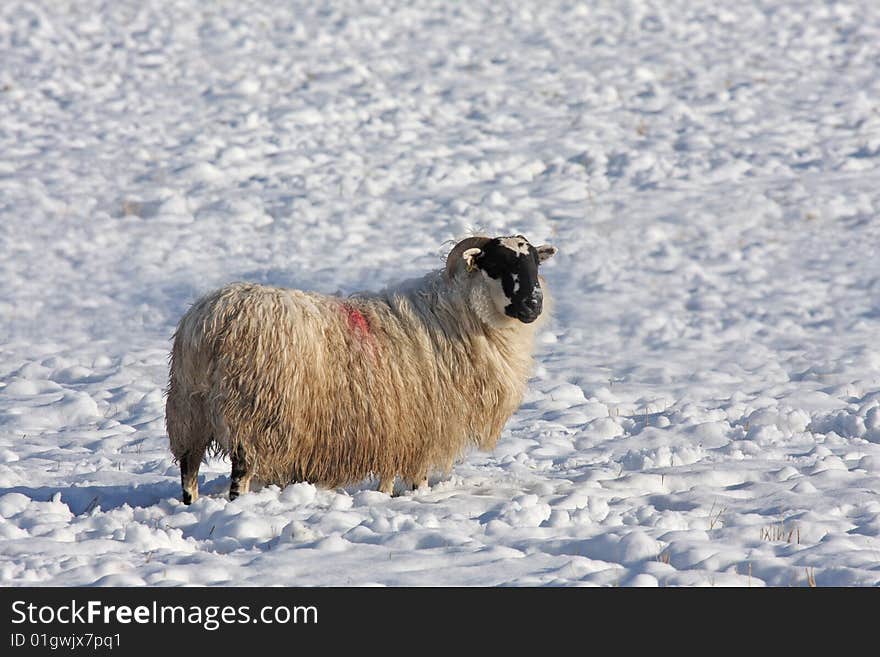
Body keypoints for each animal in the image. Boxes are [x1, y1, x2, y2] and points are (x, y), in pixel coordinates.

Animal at [167, 234, 556, 502]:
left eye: (534, 265)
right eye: (498, 265)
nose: (532, 305)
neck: (456, 314)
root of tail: (214, 319)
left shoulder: (397, 429)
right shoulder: (427, 427)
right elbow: (418, 477)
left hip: (189, 409)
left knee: (188, 468)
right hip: (253, 411)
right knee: (240, 475)